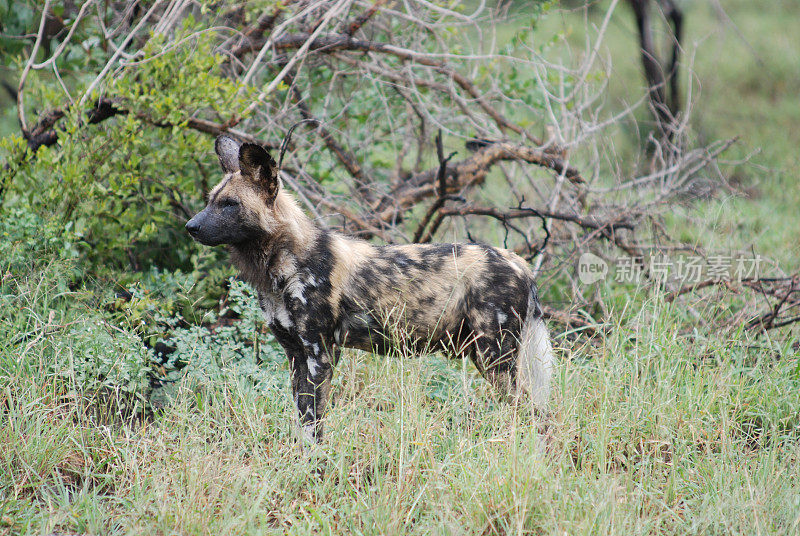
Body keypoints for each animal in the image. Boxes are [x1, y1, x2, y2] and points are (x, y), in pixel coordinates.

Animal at [186, 135, 556, 444]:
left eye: (230, 204)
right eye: (210, 201)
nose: (190, 227)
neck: (283, 264)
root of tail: (520, 262)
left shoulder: (321, 353)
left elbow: (316, 423)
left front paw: (315, 468)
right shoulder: (295, 354)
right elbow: (303, 420)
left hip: (495, 358)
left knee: (533, 414)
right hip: (484, 357)